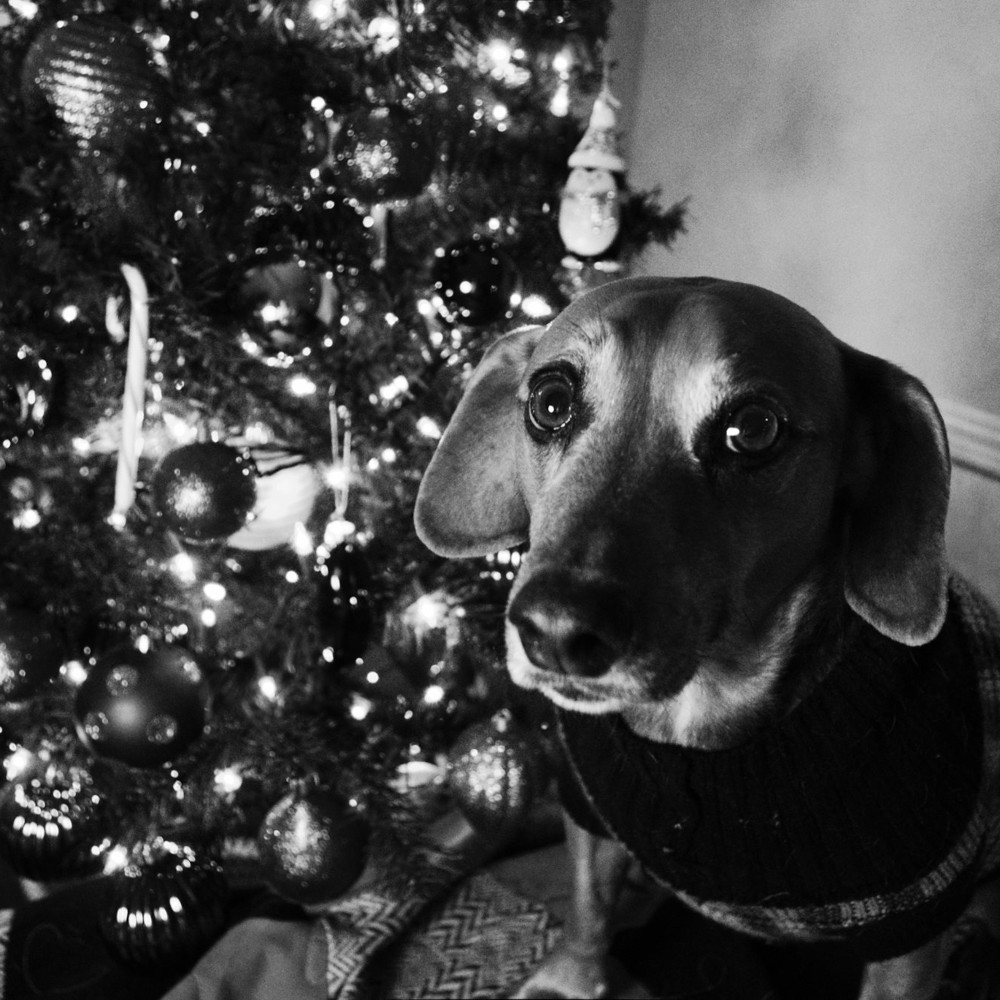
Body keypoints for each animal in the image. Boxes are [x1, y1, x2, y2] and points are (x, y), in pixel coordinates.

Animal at [414, 278, 1000, 1000]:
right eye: (551, 402)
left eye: (753, 429)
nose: (556, 630)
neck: (691, 723)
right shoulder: (589, 813)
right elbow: (586, 905)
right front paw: (569, 978)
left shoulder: (914, 925)